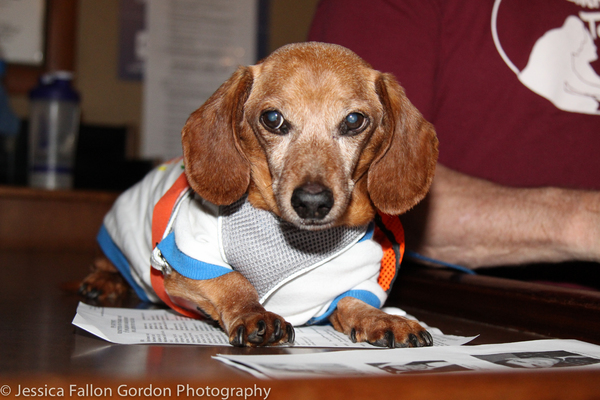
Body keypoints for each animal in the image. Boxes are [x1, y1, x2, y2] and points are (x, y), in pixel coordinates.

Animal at [81, 43, 436, 346]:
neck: (298, 242)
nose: (312, 203)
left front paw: (383, 319)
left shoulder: (359, 281)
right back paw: (102, 282)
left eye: (354, 120)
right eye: (272, 119)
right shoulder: (188, 254)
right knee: (106, 263)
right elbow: (233, 281)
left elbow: (352, 302)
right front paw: (253, 313)